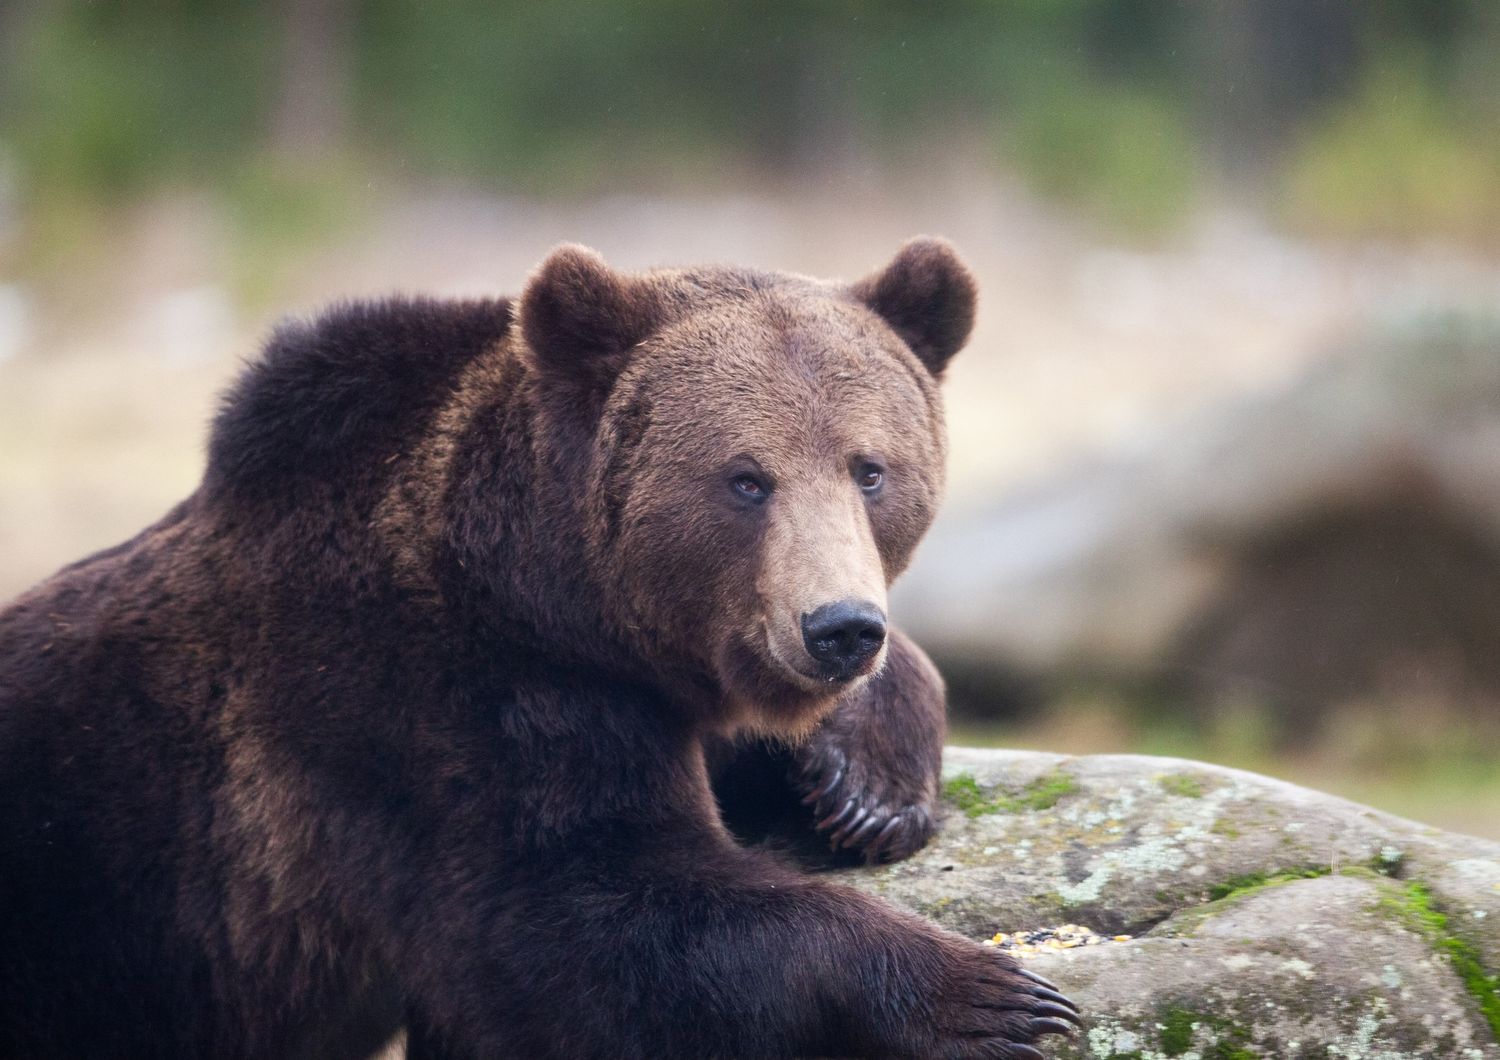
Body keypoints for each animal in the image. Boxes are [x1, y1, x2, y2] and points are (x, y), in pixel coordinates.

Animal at [0, 242, 1080, 1060]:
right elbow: (570, 921)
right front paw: (994, 994)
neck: (551, 594)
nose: (838, 626)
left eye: (871, 469)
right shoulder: (425, 706)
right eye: (745, 478)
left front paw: (864, 786)